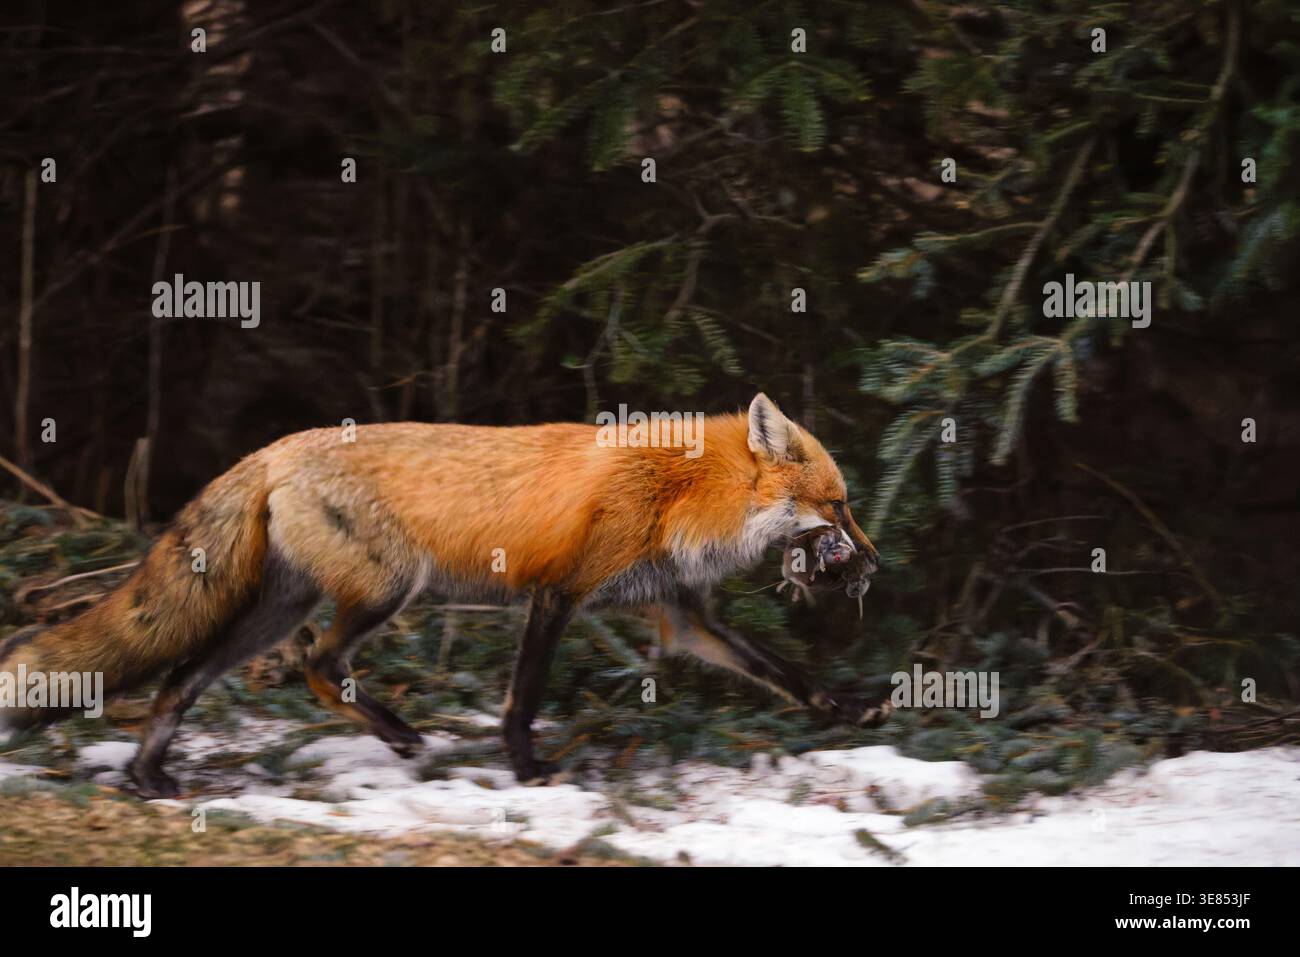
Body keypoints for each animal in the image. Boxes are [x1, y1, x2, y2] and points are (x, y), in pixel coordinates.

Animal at [0, 393, 883, 798]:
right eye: (840, 507)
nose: (873, 560)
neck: (679, 490)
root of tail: (277, 446)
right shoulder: (560, 591)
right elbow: (523, 695)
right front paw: (526, 767)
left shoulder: (679, 614)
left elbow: (782, 670)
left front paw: (847, 708)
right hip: (386, 590)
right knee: (318, 665)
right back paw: (397, 734)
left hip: (278, 609)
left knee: (184, 679)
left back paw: (149, 775)